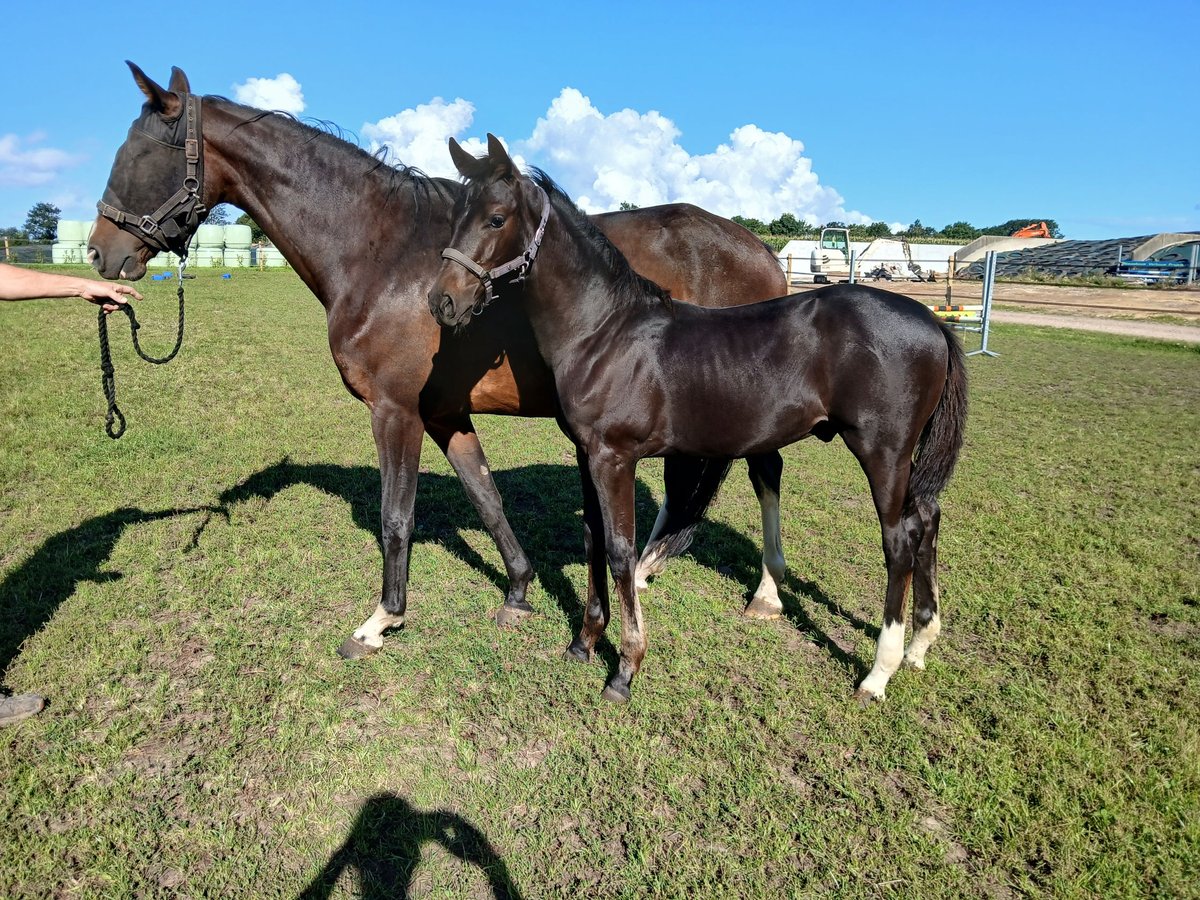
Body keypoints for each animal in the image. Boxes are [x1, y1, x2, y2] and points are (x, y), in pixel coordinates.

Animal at [87, 63, 791, 658]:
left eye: (141, 155)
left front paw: (382, 620)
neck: (381, 251)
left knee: (764, 474)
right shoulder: (444, 412)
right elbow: (487, 497)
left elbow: (396, 515)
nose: (100, 253)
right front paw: (518, 592)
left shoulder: (395, 410)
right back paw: (652, 571)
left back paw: (763, 594)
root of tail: (760, 248)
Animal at [429, 136, 968, 703]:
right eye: (456, 216)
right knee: (927, 518)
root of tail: (932, 321)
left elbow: (620, 553)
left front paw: (625, 669)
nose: (442, 301)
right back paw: (920, 644)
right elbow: (594, 539)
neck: (604, 332)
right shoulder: (586, 454)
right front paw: (583, 643)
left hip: (882, 451)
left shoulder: (614, 458)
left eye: (495, 218)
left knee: (900, 541)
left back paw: (879, 672)